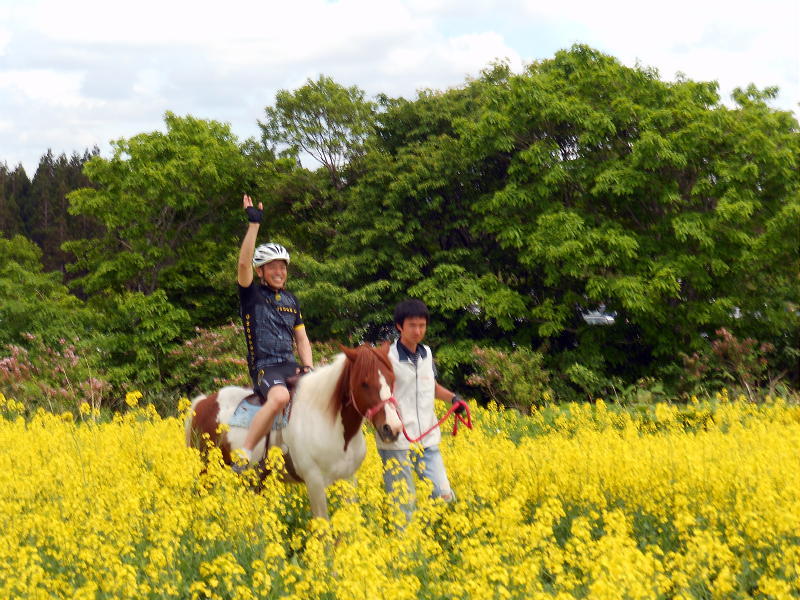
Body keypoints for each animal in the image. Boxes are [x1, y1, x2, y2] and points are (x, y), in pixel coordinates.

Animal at [186, 344, 400, 516]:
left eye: (392, 379)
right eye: (364, 383)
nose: (392, 428)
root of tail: (202, 402)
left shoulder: (348, 479)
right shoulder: (314, 481)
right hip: (207, 469)